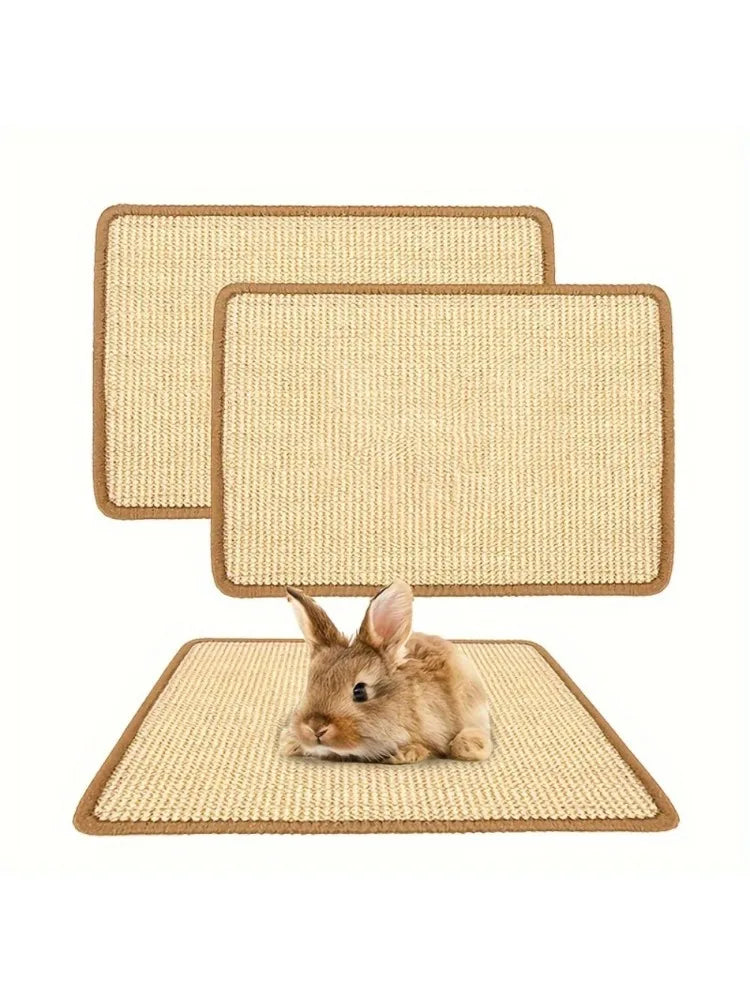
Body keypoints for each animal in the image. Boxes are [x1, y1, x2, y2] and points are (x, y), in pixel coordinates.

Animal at [280, 580, 491, 764]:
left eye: (360, 691)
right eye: (309, 686)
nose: (315, 728)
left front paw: (405, 753)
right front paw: (290, 743)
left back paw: (469, 746)